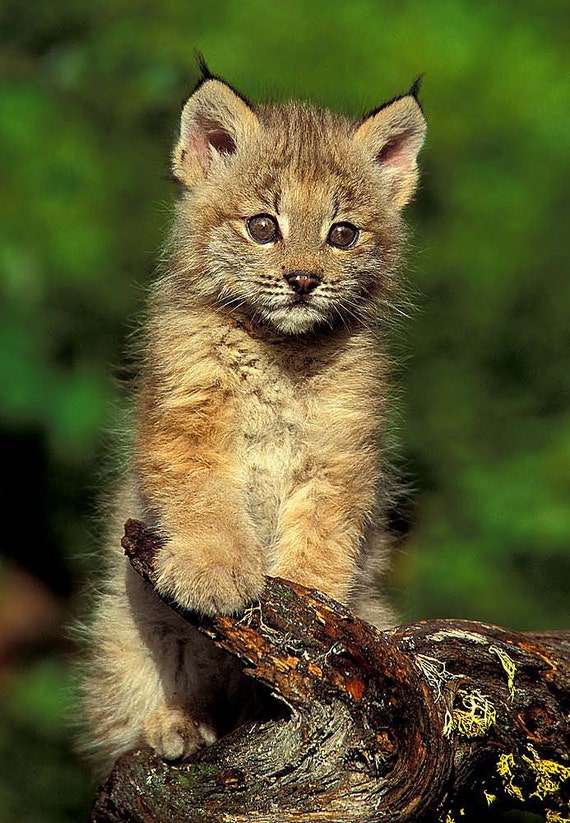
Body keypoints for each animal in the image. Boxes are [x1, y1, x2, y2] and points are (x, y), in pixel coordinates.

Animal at [82, 66, 424, 780]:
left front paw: (311, 605)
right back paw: (178, 724)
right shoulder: (181, 422)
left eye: (342, 234)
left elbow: (324, 529)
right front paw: (214, 570)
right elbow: (205, 497)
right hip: (122, 625)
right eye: (264, 226)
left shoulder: (345, 449)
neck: (279, 351)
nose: (303, 280)